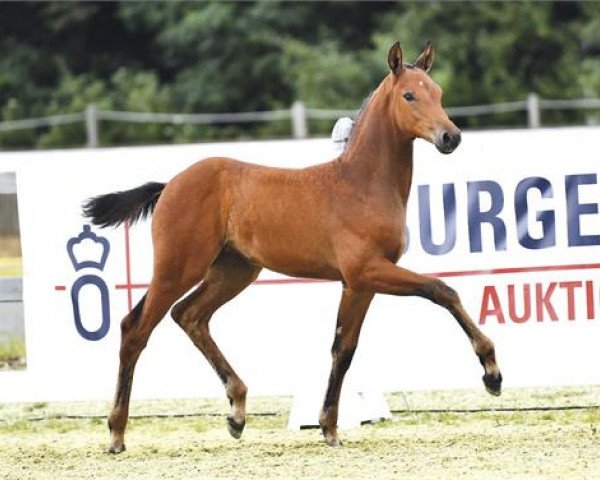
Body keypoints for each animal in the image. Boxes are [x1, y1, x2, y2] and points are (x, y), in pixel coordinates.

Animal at [85, 42, 502, 454]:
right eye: (409, 95)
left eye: (439, 93)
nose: (450, 137)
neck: (362, 184)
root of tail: (170, 184)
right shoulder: (367, 270)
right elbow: (442, 290)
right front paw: (492, 373)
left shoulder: (359, 284)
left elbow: (343, 350)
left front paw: (329, 427)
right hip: (178, 267)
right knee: (136, 328)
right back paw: (117, 433)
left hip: (233, 271)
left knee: (189, 315)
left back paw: (237, 411)